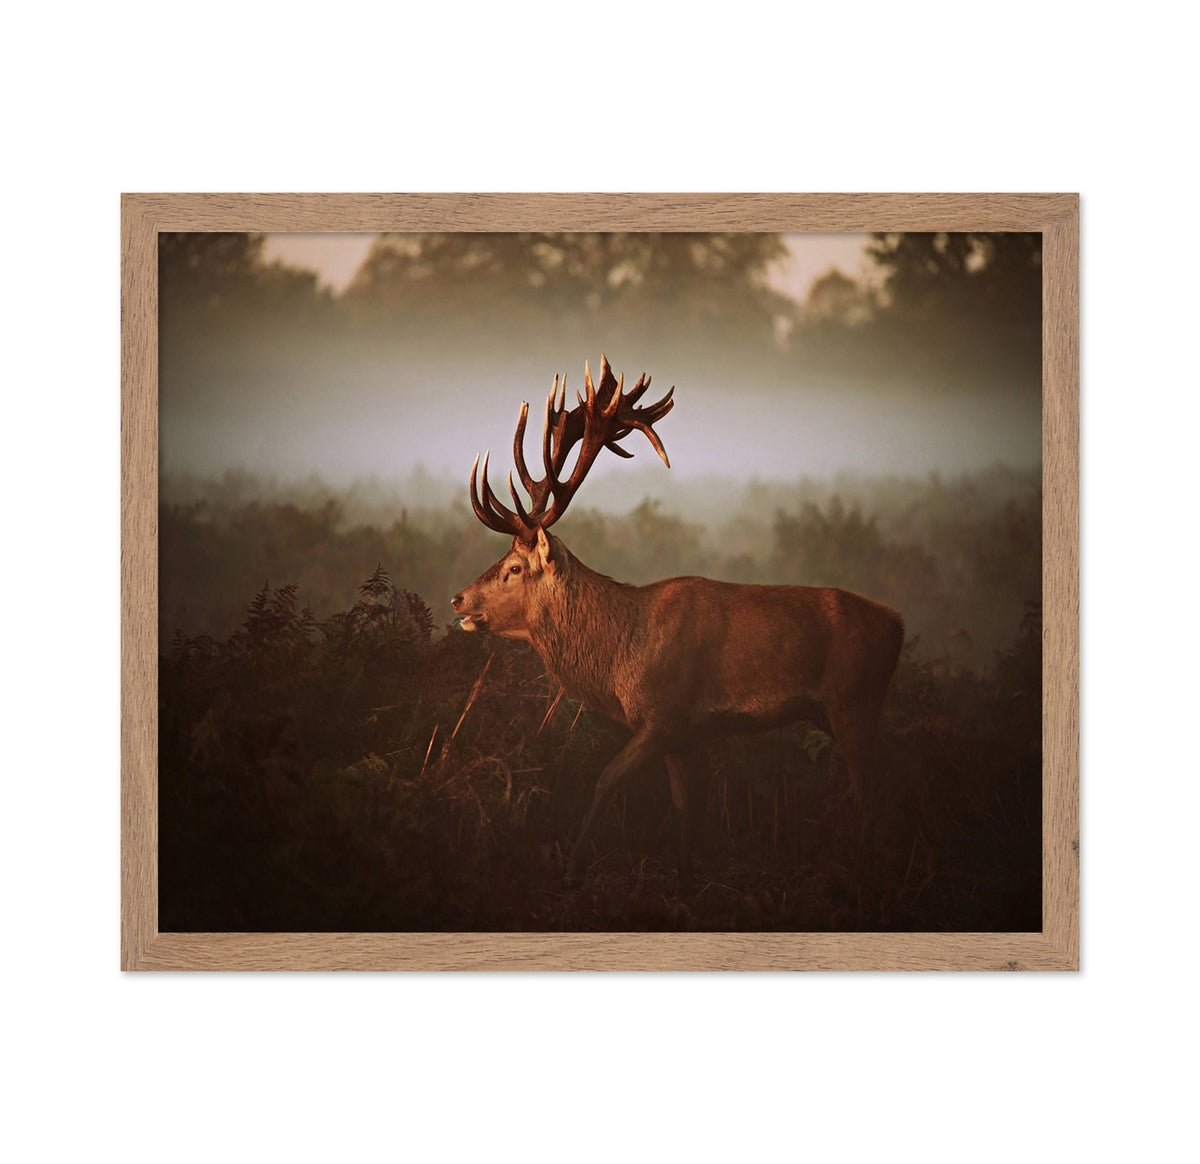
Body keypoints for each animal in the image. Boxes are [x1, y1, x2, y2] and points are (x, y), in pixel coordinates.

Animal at [451, 356, 905, 883]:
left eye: (514, 568)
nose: (458, 599)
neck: (620, 657)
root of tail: (898, 624)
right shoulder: (685, 736)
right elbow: (687, 808)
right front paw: (687, 875)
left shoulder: (663, 715)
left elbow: (605, 780)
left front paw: (573, 869)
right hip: (841, 710)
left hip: (853, 700)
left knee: (871, 792)